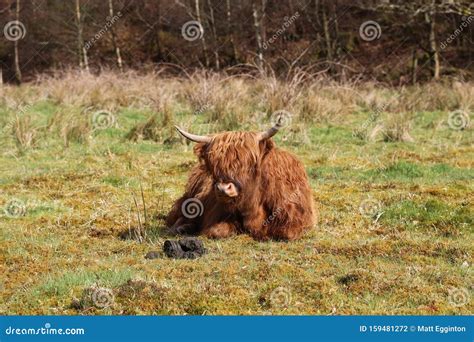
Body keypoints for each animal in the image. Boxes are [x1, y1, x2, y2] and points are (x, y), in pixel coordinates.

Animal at [167, 120, 314, 240]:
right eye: (214, 165)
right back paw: (182, 228)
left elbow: (285, 233)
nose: (223, 188)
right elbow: (217, 231)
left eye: (249, 163)